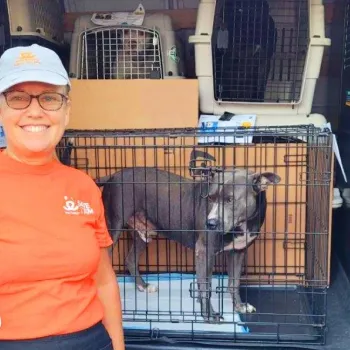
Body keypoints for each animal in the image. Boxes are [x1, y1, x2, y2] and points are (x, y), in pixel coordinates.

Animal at [97, 165, 280, 322]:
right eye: (211, 198)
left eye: (230, 200)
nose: (210, 223)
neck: (242, 224)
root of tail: (113, 176)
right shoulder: (204, 251)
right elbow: (205, 287)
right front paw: (209, 315)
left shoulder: (238, 251)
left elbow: (234, 283)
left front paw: (240, 306)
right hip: (113, 227)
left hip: (144, 233)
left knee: (130, 259)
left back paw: (144, 286)